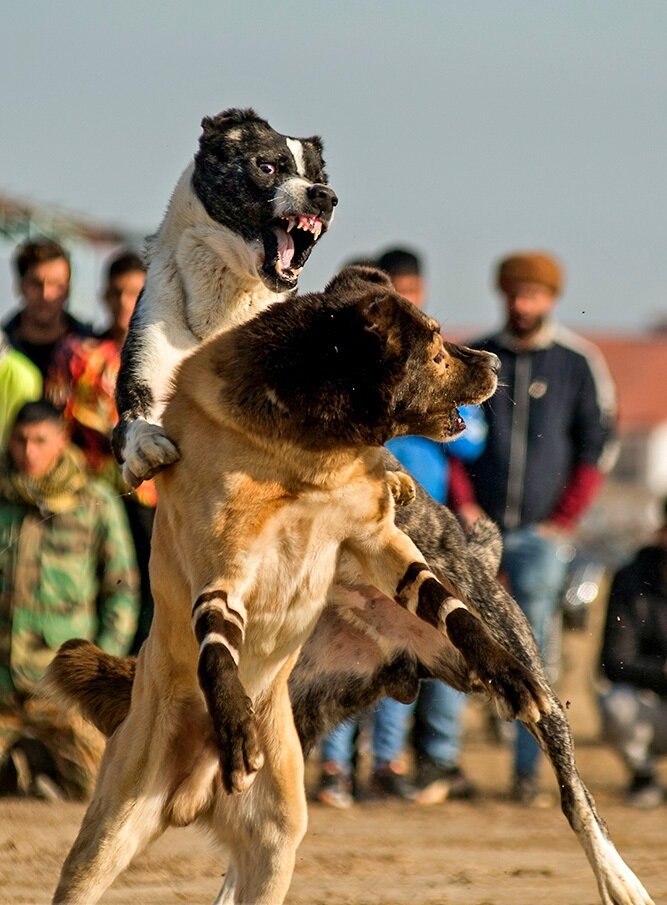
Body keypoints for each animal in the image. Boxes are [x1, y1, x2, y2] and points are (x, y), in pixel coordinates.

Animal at [48, 268, 548, 904]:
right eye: (435, 348)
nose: (492, 359)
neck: (306, 453)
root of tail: (191, 796)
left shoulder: (377, 541)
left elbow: (448, 605)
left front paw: (509, 674)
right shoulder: (223, 573)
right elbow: (217, 642)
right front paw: (236, 728)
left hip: (275, 838)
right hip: (109, 830)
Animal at [113, 107, 340, 488]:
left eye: (319, 177)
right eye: (267, 167)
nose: (324, 195)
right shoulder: (150, 356)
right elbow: (135, 420)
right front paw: (146, 446)